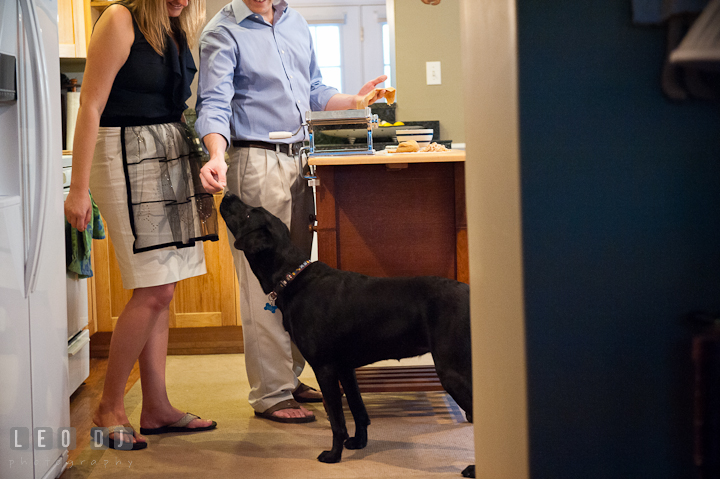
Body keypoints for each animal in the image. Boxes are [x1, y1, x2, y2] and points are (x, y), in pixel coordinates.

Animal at [219, 193, 478, 478]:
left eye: (248, 213)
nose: (227, 194)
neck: (295, 279)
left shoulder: (325, 368)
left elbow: (337, 419)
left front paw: (333, 455)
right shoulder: (345, 367)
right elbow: (358, 409)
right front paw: (358, 443)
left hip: (452, 370)